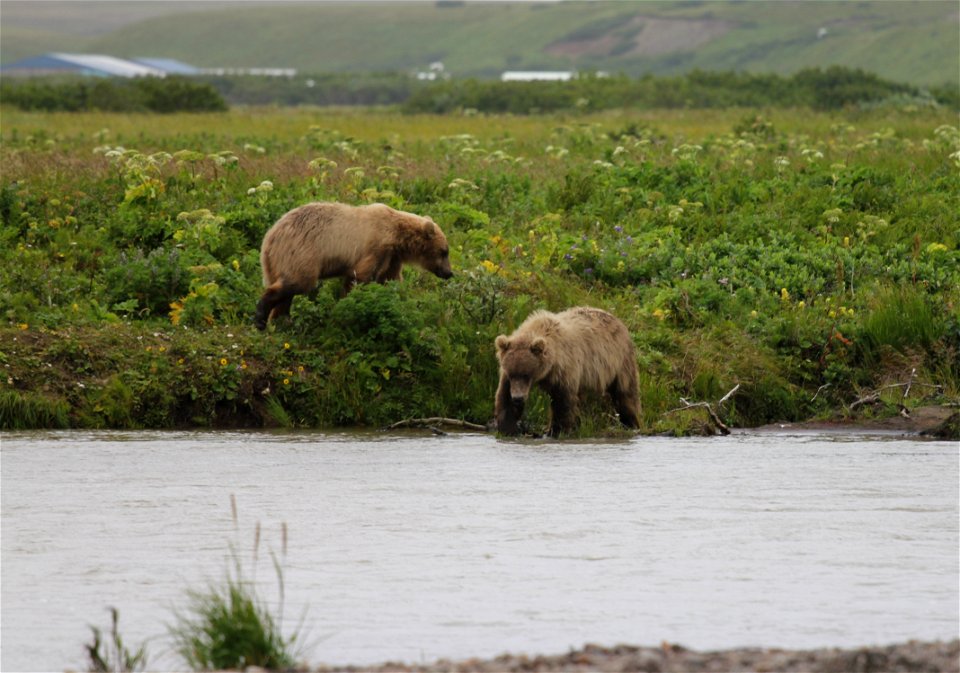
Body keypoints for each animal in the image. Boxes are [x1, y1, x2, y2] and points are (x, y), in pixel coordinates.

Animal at [253, 201, 452, 330]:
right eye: (444, 251)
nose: (450, 273)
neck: (397, 236)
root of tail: (269, 237)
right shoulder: (374, 247)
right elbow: (360, 277)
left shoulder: (392, 256)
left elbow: (391, 280)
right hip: (302, 253)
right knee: (297, 283)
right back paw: (261, 318)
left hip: (280, 260)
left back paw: (282, 320)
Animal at [496, 308, 636, 438]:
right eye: (512, 374)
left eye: (526, 375)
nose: (518, 398)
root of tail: (617, 320)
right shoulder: (507, 375)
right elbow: (504, 397)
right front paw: (508, 428)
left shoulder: (564, 368)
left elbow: (562, 401)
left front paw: (556, 431)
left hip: (619, 362)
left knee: (625, 393)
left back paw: (631, 424)